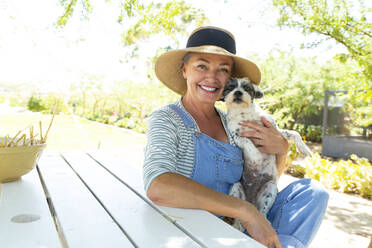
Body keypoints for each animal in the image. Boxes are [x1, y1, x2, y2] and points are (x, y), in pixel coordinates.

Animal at [221, 77, 310, 231]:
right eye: (230, 88)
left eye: (247, 88)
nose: (238, 92)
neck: (244, 114)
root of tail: (251, 202)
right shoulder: (236, 136)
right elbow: (249, 144)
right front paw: (256, 155)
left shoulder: (274, 131)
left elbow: (294, 133)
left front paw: (304, 148)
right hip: (236, 188)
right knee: (239, 214)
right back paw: (239, 224)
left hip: (270, 189)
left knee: (262, 212)